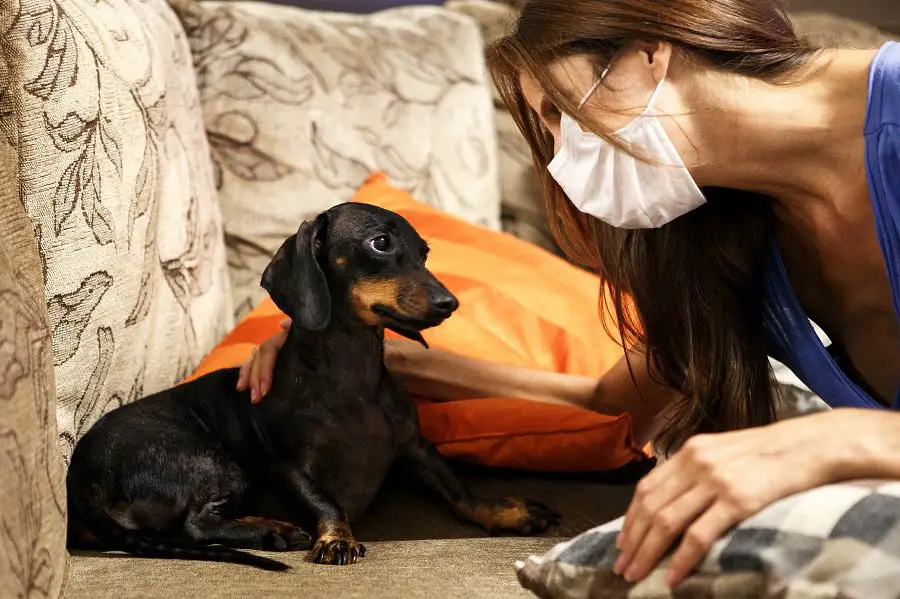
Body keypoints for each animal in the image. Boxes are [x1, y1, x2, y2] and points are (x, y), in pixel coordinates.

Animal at [68, 203, 564, 572]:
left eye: (424, 251)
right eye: (380, 243)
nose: (450, 303)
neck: (351, 380)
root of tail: (77, 475)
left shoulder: (416, 447)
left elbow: (461, 493)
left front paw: (506, 511)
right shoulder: (292, 468)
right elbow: (326, 502)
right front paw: (337, 538)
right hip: (214, 463)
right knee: (195, 525)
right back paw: (274, 529)